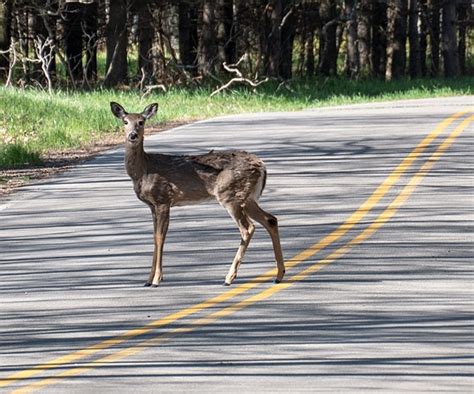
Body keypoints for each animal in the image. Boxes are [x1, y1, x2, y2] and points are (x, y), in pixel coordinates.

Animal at [110, 101, 286, 286]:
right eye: (125, 122)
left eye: (141, 122)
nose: (133, 135)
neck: (143, 171)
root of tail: (262, 165)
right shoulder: (152, 205)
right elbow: (154, 238)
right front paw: (148, 279)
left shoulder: (163, 198)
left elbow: (160, 237)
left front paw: (157, 279)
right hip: (247, 197)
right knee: (270, 220)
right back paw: (279, 275)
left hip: (230, 195)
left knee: (248, 228)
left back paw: (229, 277)